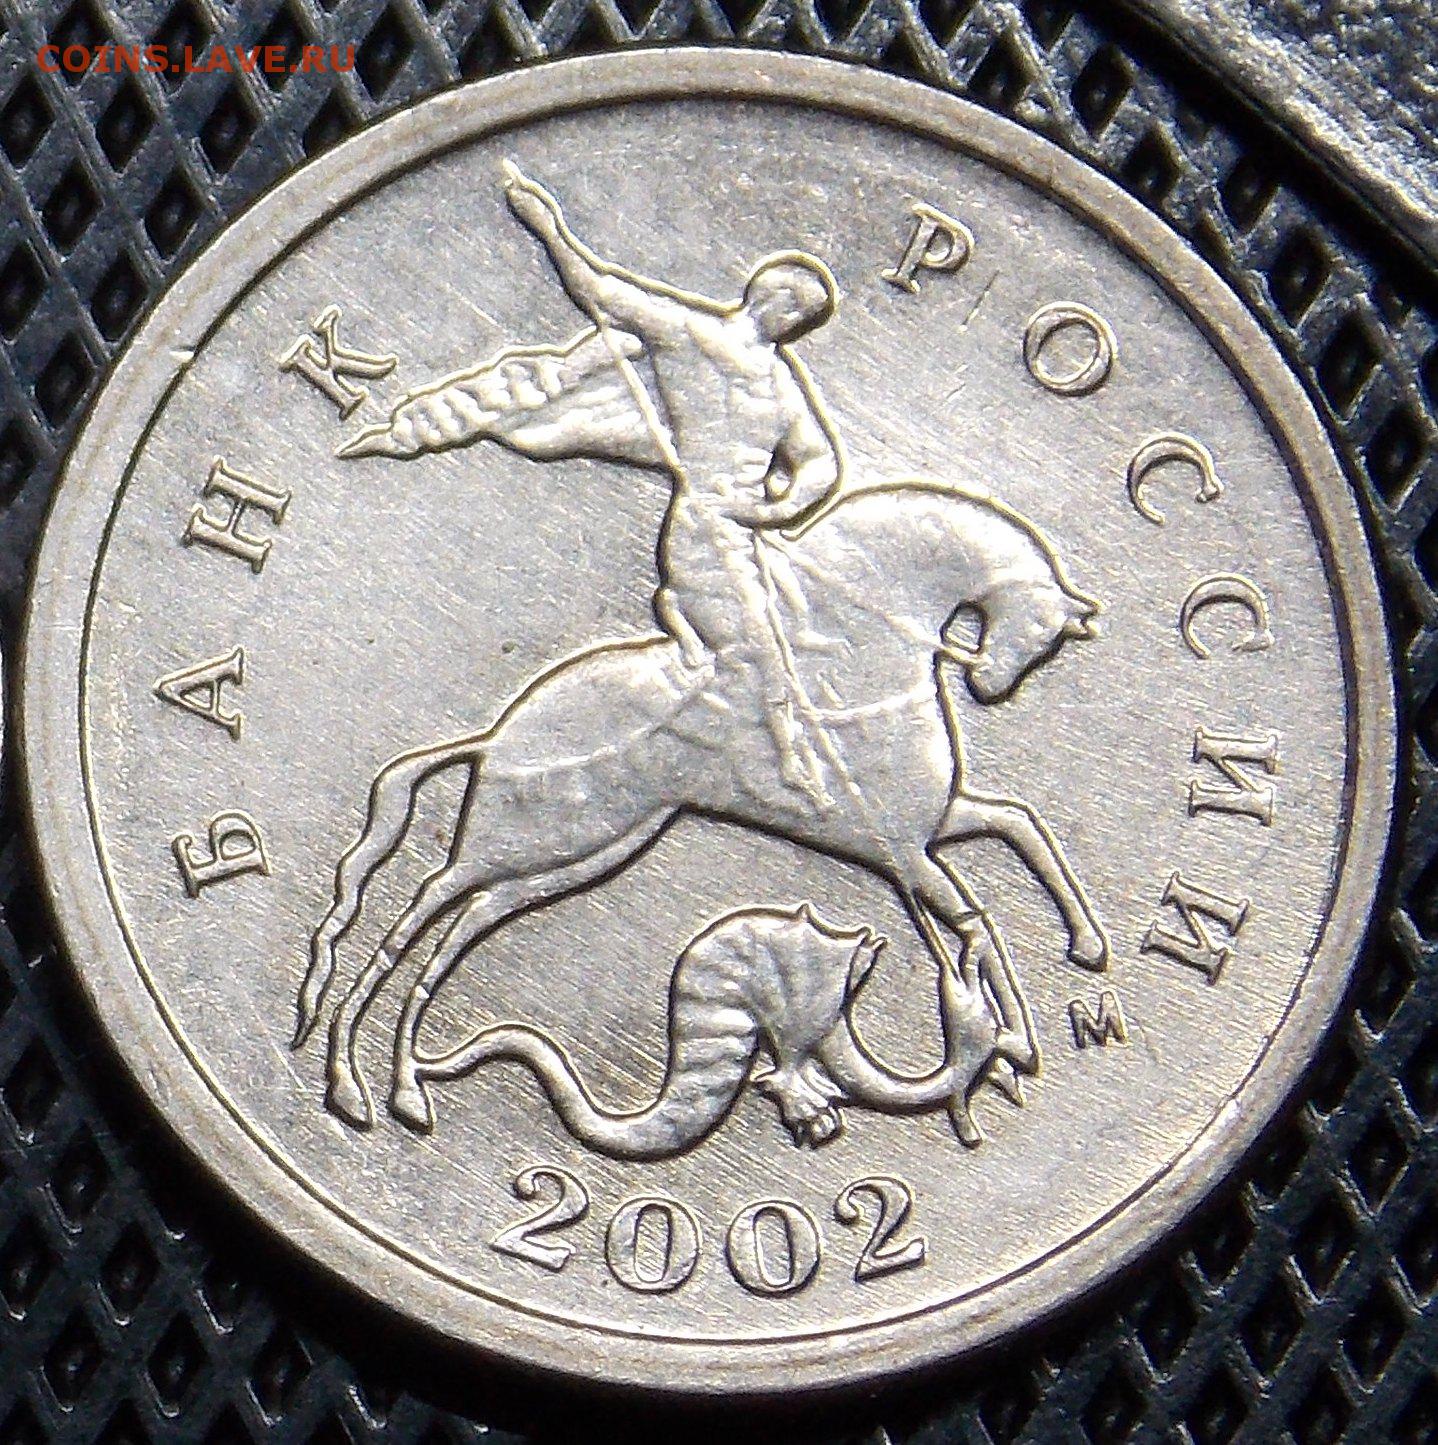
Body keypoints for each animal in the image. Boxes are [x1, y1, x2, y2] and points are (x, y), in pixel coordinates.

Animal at [294, 481, 1110, 1133]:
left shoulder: (929, 827)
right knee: (414, 911)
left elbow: (1020, 830)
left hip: (573, 856)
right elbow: (978, 917)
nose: (992, 687)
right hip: (519, 842)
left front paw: (1081, 952)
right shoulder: (905, 851)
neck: (859, 657)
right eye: (1042, 631)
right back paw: (350, 1082)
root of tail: (499, 733)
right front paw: (1015, 1039)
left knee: (457, 927)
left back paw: (403, 1086)